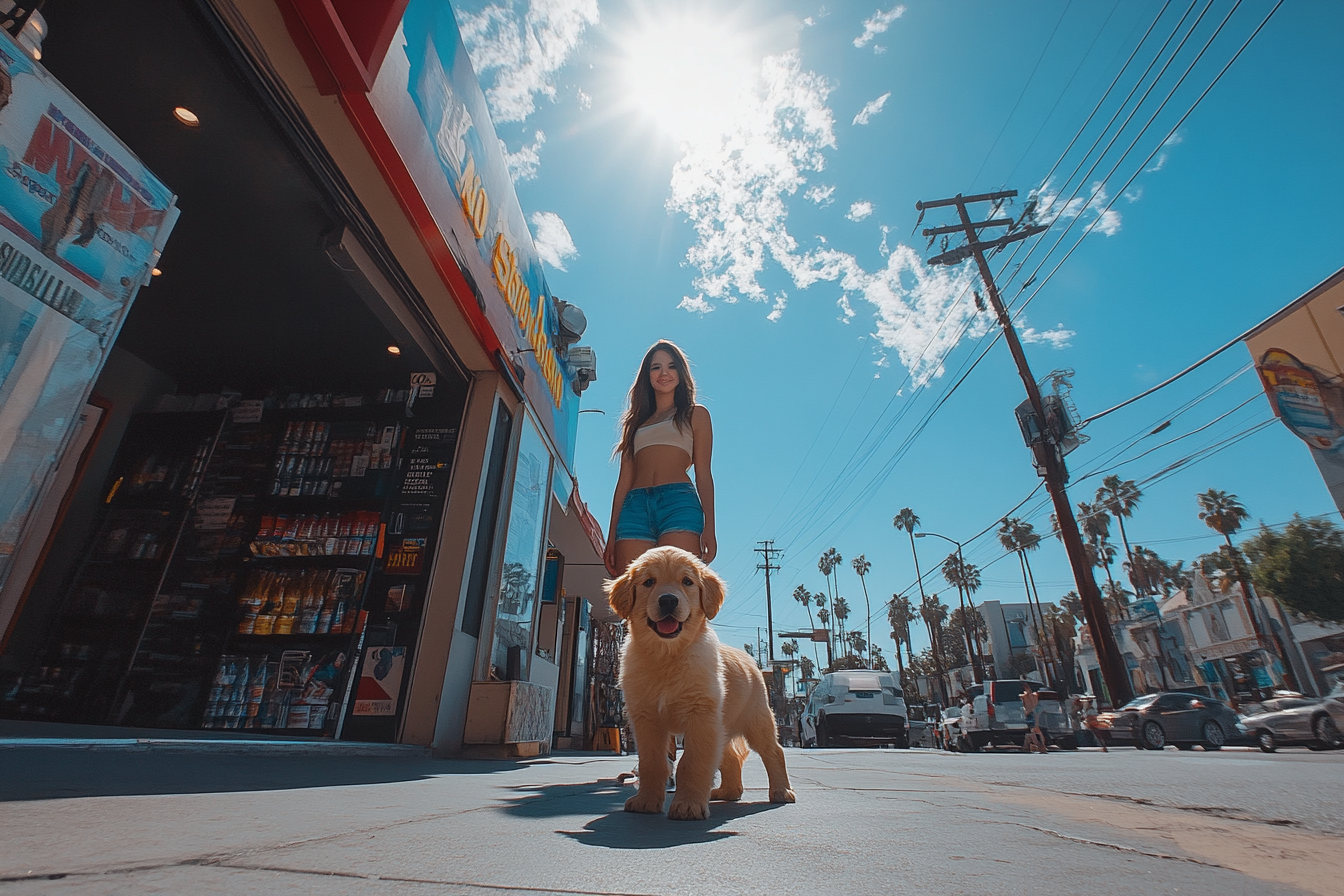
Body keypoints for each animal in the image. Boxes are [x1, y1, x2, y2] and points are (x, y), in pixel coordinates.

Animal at [604, 548, 790, 822]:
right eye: (649, 582)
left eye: (687, 581)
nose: (668, 601)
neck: (668, 655)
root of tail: (749, 659)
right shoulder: (647, 719)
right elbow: (652, 764)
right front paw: (646, 801)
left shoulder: (700, 717)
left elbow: (692, 764)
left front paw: (688, 805)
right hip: (722, 728)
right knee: (730, 758)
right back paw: (726, 792)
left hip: (756, 720)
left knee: (774, 751)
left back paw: (782, 792)